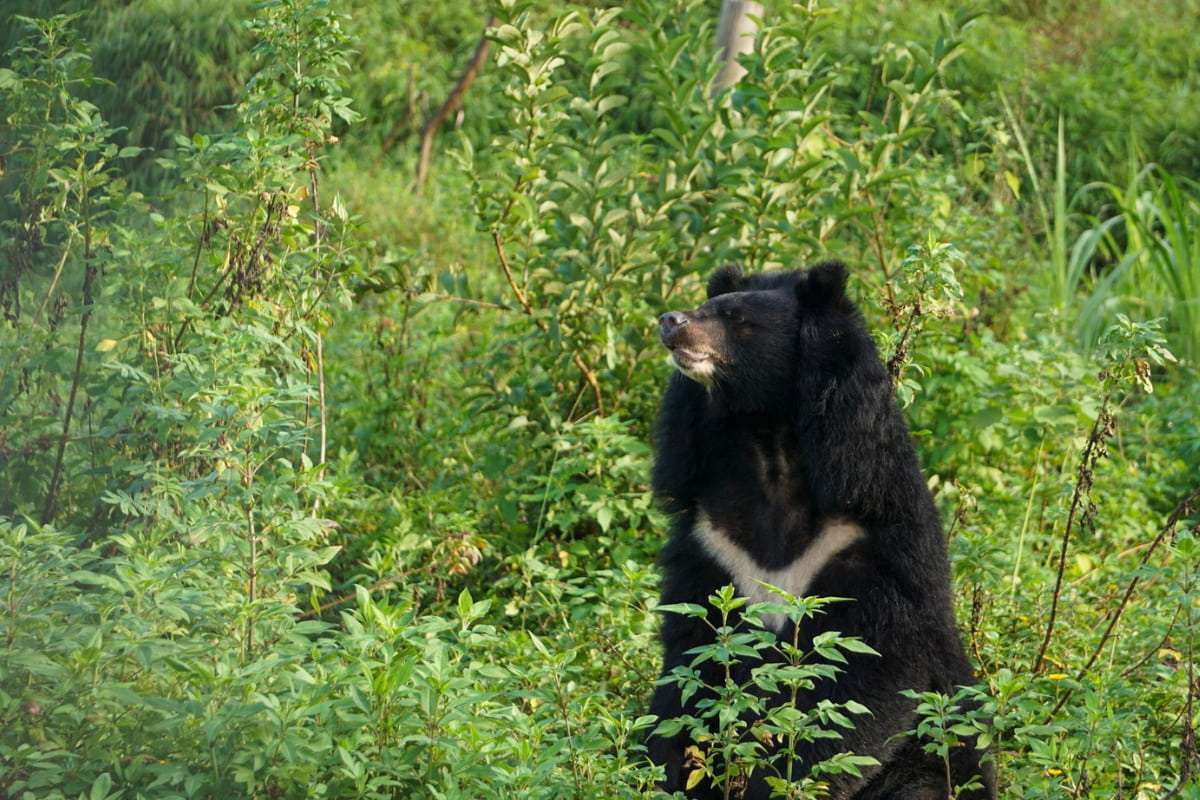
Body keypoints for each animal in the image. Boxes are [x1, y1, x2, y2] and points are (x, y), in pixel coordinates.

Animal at [646, 261, 995, 800]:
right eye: (706, 307)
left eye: (737, 319)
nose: (671, 321)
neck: (770, 446)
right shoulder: (713, 545)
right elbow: (690, 667)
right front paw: (668, 775)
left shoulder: (863, 549)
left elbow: (861, 681)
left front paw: (776, 785)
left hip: (941, 757)